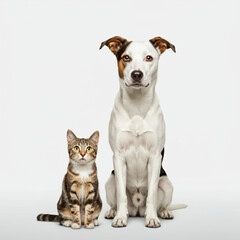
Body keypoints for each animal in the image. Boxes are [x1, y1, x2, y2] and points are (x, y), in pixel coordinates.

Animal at [99, 36, 186, 228]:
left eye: (149, 58)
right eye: (126, 57)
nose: (136, 74)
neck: (137, 104)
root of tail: (137, 210)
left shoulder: (155, 157)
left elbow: (152, 195)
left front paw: (152, 218)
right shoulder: (118, 156)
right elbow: (121, 195)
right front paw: (120, 218)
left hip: (166, 183)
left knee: (160, 201)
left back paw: (163, 212)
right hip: (110, 181)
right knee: (116, 198)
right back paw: (113, 212)